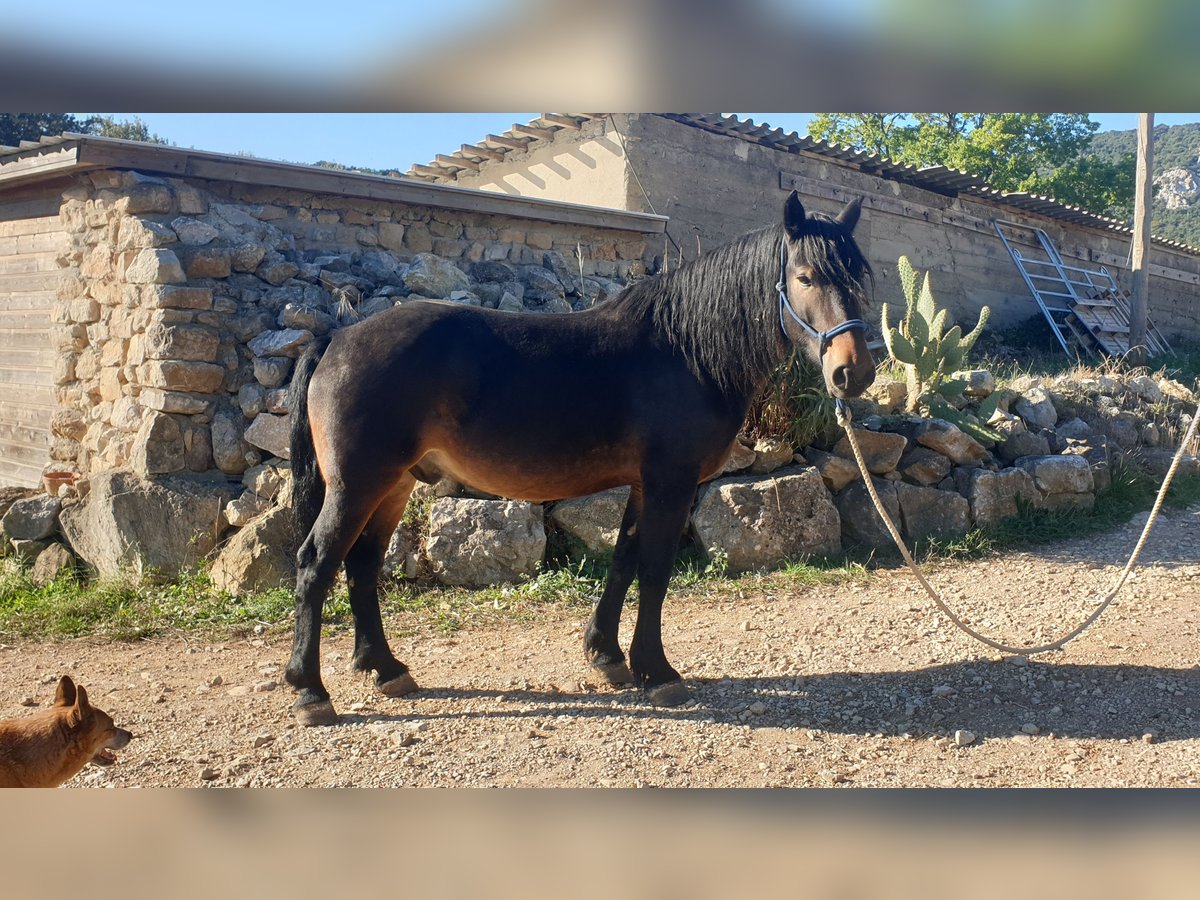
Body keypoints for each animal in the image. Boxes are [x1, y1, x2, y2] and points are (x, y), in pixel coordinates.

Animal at [283, 190, 875, 726]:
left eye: (857, 278)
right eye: (806, 277)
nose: (853, 372)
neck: (686, 350)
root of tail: (337, 339)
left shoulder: (645, 484)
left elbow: (624, 561)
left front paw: (607, 656)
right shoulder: (671, 482)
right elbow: (655, 570)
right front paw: (657, 672)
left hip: (394, 484)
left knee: (361, 563)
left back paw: (385, 669)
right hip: (359, 484)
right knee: (316, 563)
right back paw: (311, 692)